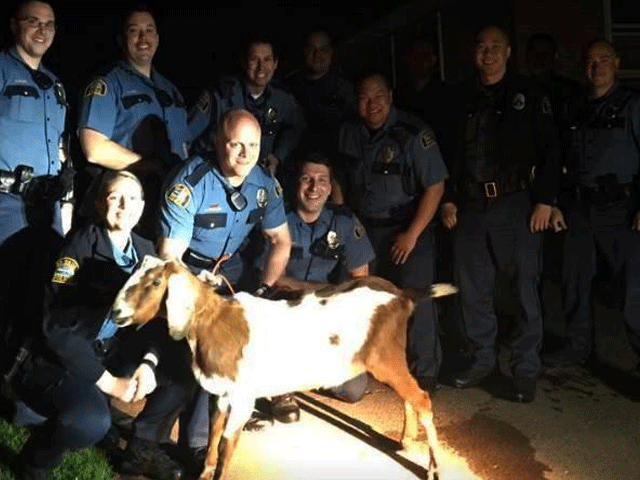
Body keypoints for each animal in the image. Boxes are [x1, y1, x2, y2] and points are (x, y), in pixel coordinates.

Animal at [114, 258, 456, 480]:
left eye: (156, 282)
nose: (117, 312)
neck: (213, 321)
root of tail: (402, 295)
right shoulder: (219, 395)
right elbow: (212, 440)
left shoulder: (242, 396)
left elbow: (226, 447)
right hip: (388, 359)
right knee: (409, 396)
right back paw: (406, 440)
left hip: (385, 358)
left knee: (422, 398)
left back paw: (434, 468)